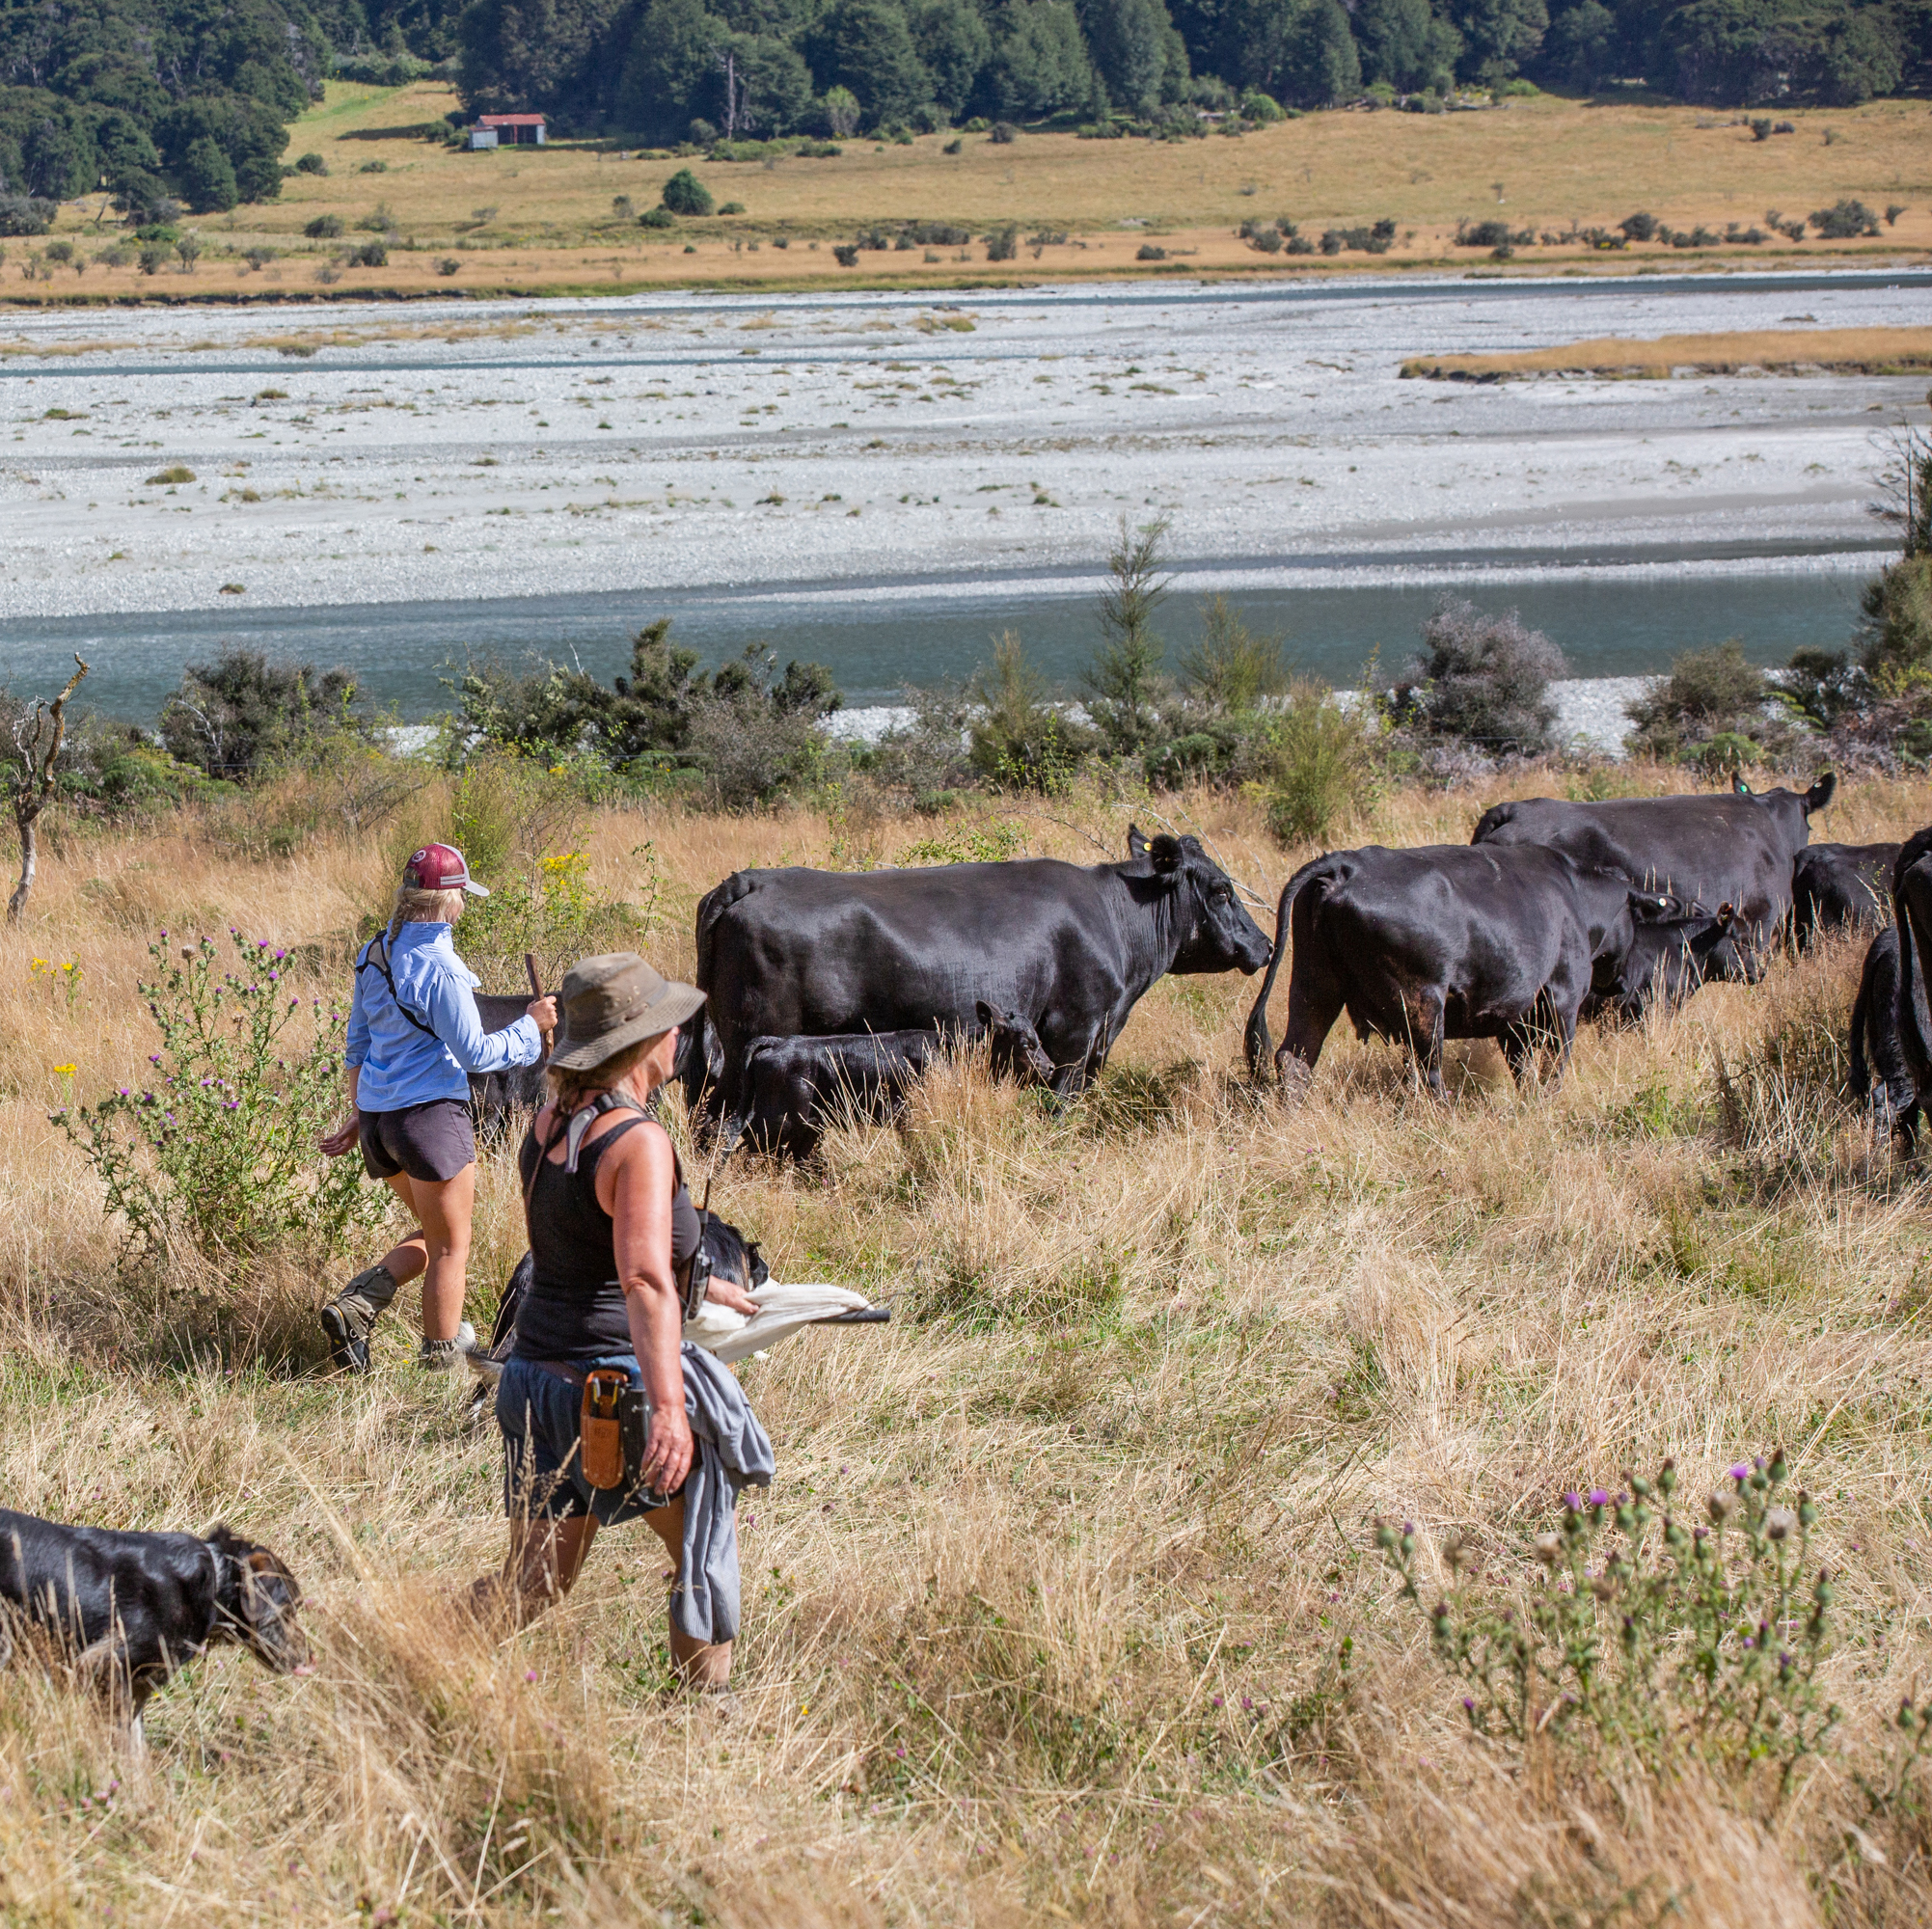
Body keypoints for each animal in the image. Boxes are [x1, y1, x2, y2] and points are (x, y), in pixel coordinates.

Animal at [687, 829, 1272, 1117]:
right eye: (1222, 890)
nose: (1264, 946)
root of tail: (749, 880)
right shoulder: (1074, 1033)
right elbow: (1059, 1106)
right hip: (749, 1044)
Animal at [724, 1003, 1055, 1158]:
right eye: (1026, 1044)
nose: (1050, 1068)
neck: (952, 1049)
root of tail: (779, 1042)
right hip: (779, 1121)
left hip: (808, 1127)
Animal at [1243, 844, 1682, 1101]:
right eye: (1634, 919)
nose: (1622, 982)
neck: (1573, 896)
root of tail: (1345, 865)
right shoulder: (1562, 1002)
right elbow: (1552, 1068)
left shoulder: (1512, 1018)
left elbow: (1523, 1068)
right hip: (1421, 1001)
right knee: (1427, 1073)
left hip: (1314, 986)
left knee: (1295, 1058)